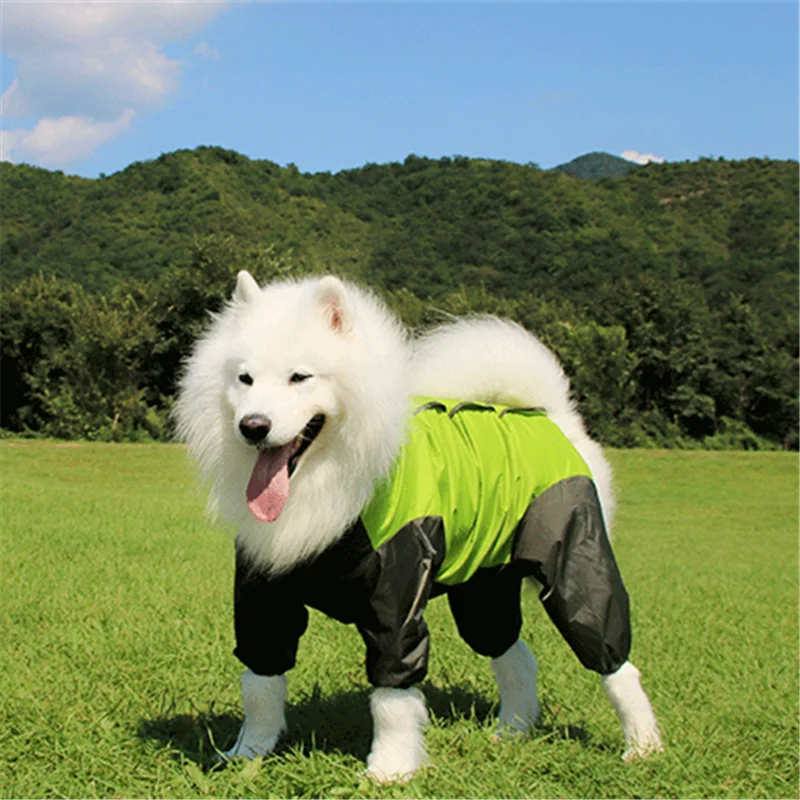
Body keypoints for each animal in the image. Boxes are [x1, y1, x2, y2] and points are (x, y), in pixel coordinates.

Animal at [175, 270, 664, 780]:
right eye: (244, 378)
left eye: (299, 377)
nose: (253, 425)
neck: (325, 484)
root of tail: (552, 417)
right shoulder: (263, 593)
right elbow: (261, 685)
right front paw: (248, 754)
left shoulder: (397, 592)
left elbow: (392, 697)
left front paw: (389, 770)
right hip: (484, 587)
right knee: (514, 656)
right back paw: (511, 731)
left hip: (573, 560)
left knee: (614, 659)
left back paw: (643, 746)